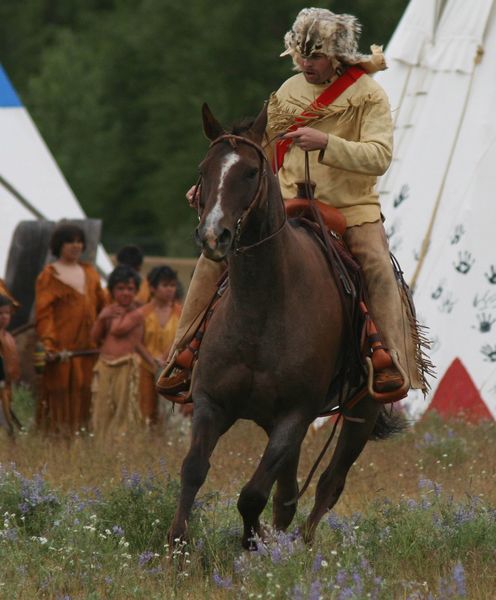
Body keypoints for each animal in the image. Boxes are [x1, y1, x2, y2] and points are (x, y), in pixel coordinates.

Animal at [169, 103, 402, 548]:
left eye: (250, 172)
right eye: (204, 170)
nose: (213, 236)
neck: (262, 308)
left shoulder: (296, 414)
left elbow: (252, 495)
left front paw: (254, 543)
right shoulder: (212, 404)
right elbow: (193, 470)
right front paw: (175, 548)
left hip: (360, 412)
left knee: (328, 484)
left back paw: (304, 546)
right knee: (289, 492)